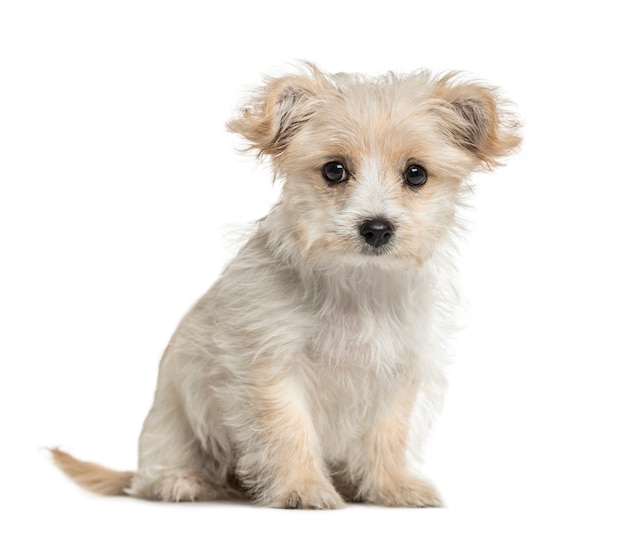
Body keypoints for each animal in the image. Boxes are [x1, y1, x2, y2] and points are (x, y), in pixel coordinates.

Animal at [51, 62, 520, 506]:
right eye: (334, 170)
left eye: (416, 174)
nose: (376, 228)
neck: (354, 283)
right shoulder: (271, 368)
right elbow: (290, 431)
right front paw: (302, 488)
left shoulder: (398, 371)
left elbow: (388, 435)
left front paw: (391, 487)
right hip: (173, 427)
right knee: (151, 476)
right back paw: (180, 481)